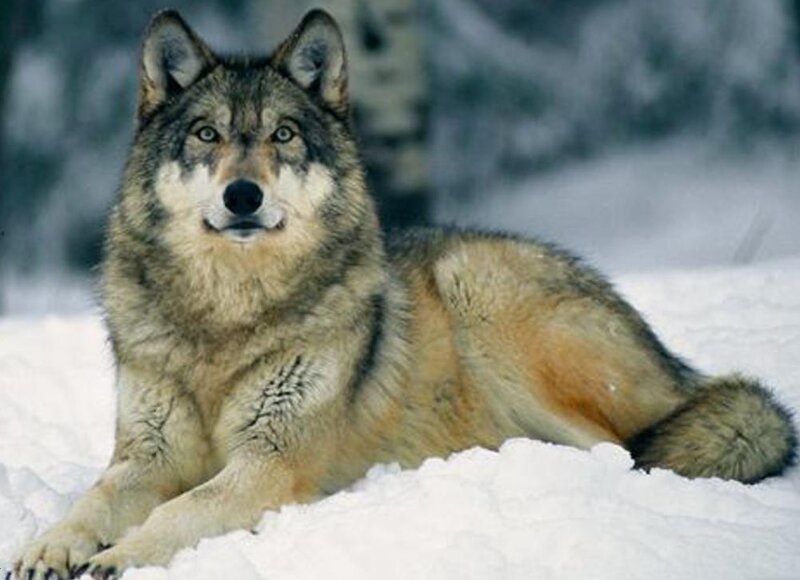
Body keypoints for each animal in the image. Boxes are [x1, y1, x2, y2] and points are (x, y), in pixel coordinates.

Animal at [13, 8, 797, 580]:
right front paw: (48, 548)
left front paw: (117, 559)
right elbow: (91, 502)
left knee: (623, 452)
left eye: (284, 135)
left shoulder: (270, 461)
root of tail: (677, 368)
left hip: (479, 288)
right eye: (207, 134)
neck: (227, 316)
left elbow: (175, 516)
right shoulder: (147, 458)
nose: (243, 195)